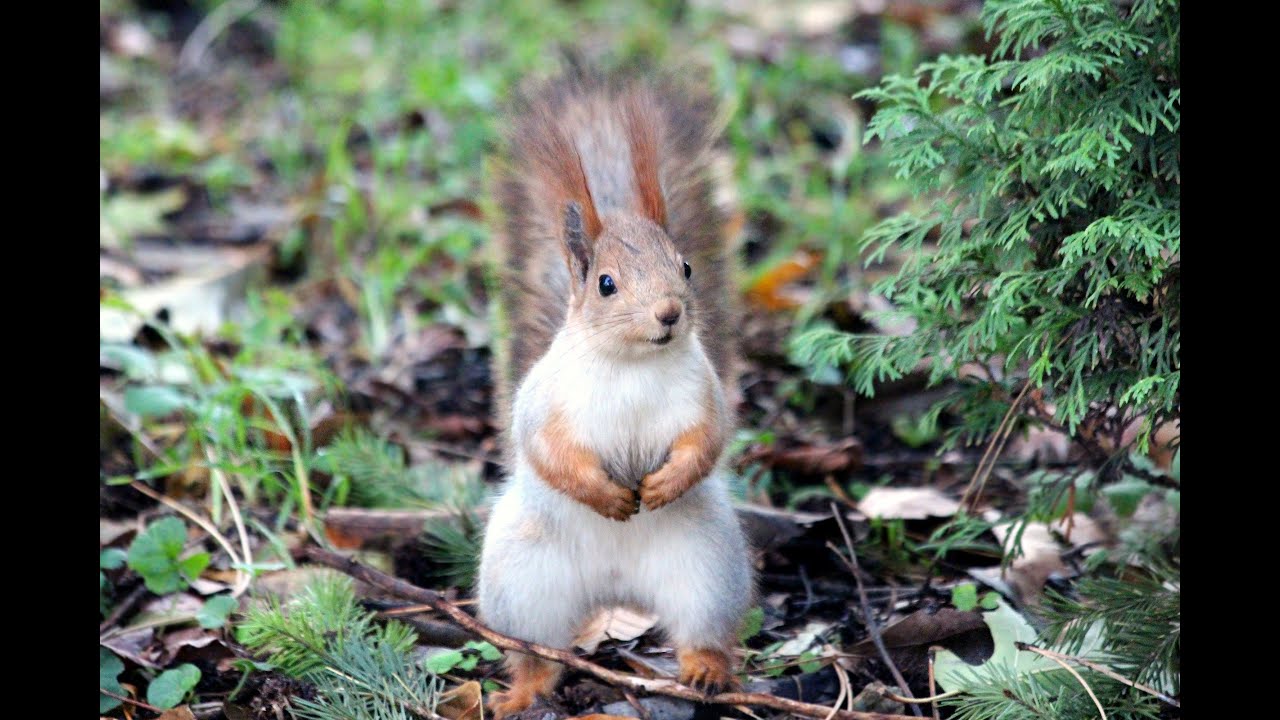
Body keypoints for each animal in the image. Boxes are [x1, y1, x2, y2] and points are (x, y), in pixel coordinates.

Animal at [477, 66, 753, 718]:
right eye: (606, 284)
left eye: (685, 267)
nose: (670, 313)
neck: (632, 364)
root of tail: (616, 589)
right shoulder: (546, 404)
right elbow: (548, 452)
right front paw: (605, 496)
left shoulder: (704, 396)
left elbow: (706, 441)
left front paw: (665, 484)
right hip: (520, 581)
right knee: (533, 653)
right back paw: (522, 692)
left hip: (708, 569)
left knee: (703, 630)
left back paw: (705, 671)